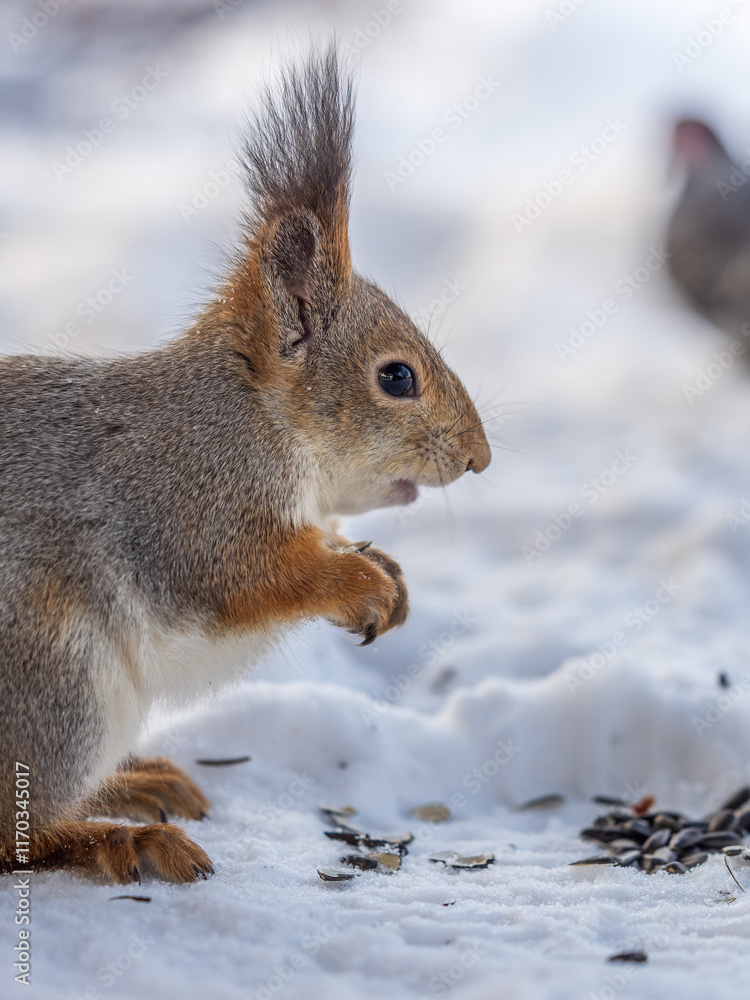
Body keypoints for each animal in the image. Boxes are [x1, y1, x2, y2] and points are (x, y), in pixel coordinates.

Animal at [0, 48, 490, 885]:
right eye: (397, 377)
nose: (478, 458)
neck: (257, 420)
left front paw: (386, 572)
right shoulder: (186, 501)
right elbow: (245, 576)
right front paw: (356, 581)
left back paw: (137, 783)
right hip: (54, 683)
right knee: (15, 835)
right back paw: (119, 838)